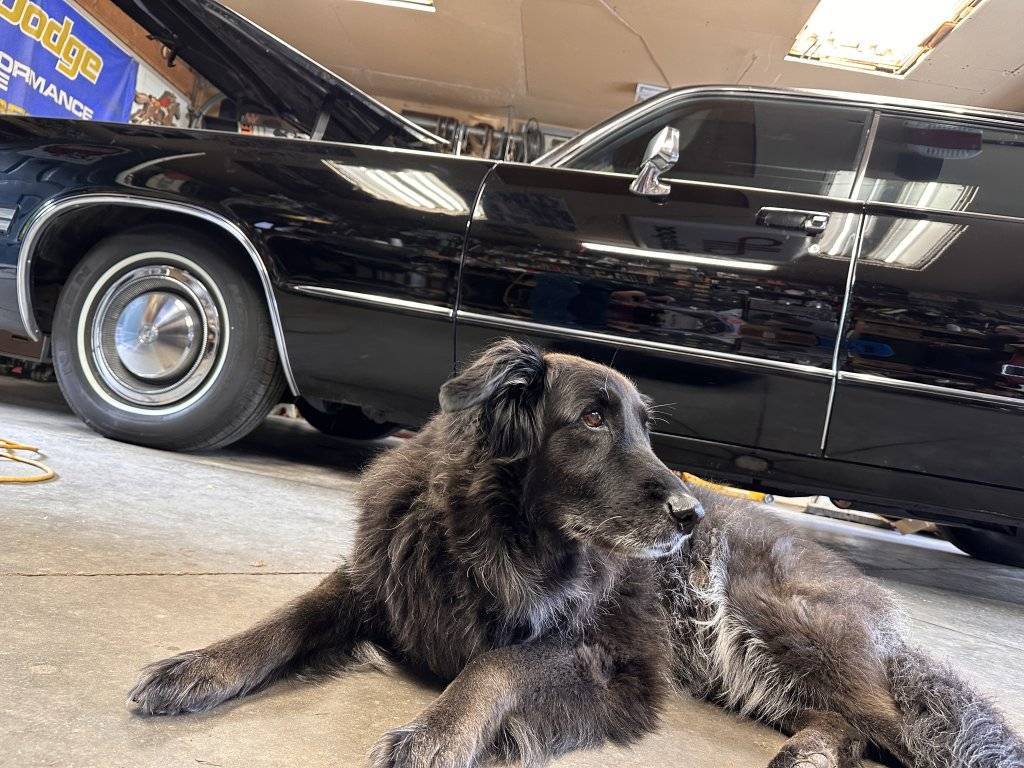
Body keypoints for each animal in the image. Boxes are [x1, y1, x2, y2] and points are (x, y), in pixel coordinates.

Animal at [130, 339, 1024, 768]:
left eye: (643, 427)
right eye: (593, 419)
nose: (692, 514)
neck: (494, 539)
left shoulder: (604, 657)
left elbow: (495, 663)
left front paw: (439, 733)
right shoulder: (376, 582)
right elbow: (288, 616)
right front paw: (200, 667)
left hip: (776, 629)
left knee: (887, 727)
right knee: (849, 721)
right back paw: (804, 751)